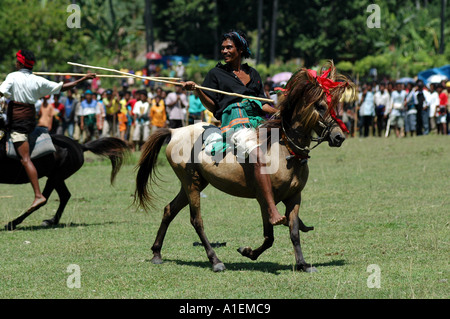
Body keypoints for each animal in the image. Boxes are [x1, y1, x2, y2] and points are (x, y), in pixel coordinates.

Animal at [0, 122, 130, 230]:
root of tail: (80, 146)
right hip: (57, 178)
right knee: (65, 195)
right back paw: (51, 221)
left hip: (55, 177)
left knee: (43, 199)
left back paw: (13, 223)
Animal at [134, 62, 356, 272]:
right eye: (320, 106)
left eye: (334, 106)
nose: (339, 137)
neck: (285, 151)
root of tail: (174, 131)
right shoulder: (264, 198)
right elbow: (269, 237)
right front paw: (248, 252)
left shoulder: (294, 197)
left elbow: (293, 232)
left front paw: (302, 263)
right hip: (192, 183)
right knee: (196, 220)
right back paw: (215, 261)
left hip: (194, 182)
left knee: (169, 210)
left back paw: (157, 253)